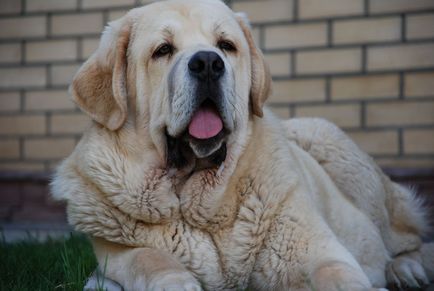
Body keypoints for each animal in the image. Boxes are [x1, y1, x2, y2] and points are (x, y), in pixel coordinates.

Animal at [50, 1, 434, 290]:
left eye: (226, 45)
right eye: (163, 50)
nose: (207, 63)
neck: (194, 195)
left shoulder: (320, 252)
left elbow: (337, 274)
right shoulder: (114, 252)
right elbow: (147, 257)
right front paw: (177, 280)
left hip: (335, 149)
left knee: (405, 238)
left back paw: (406, 268)